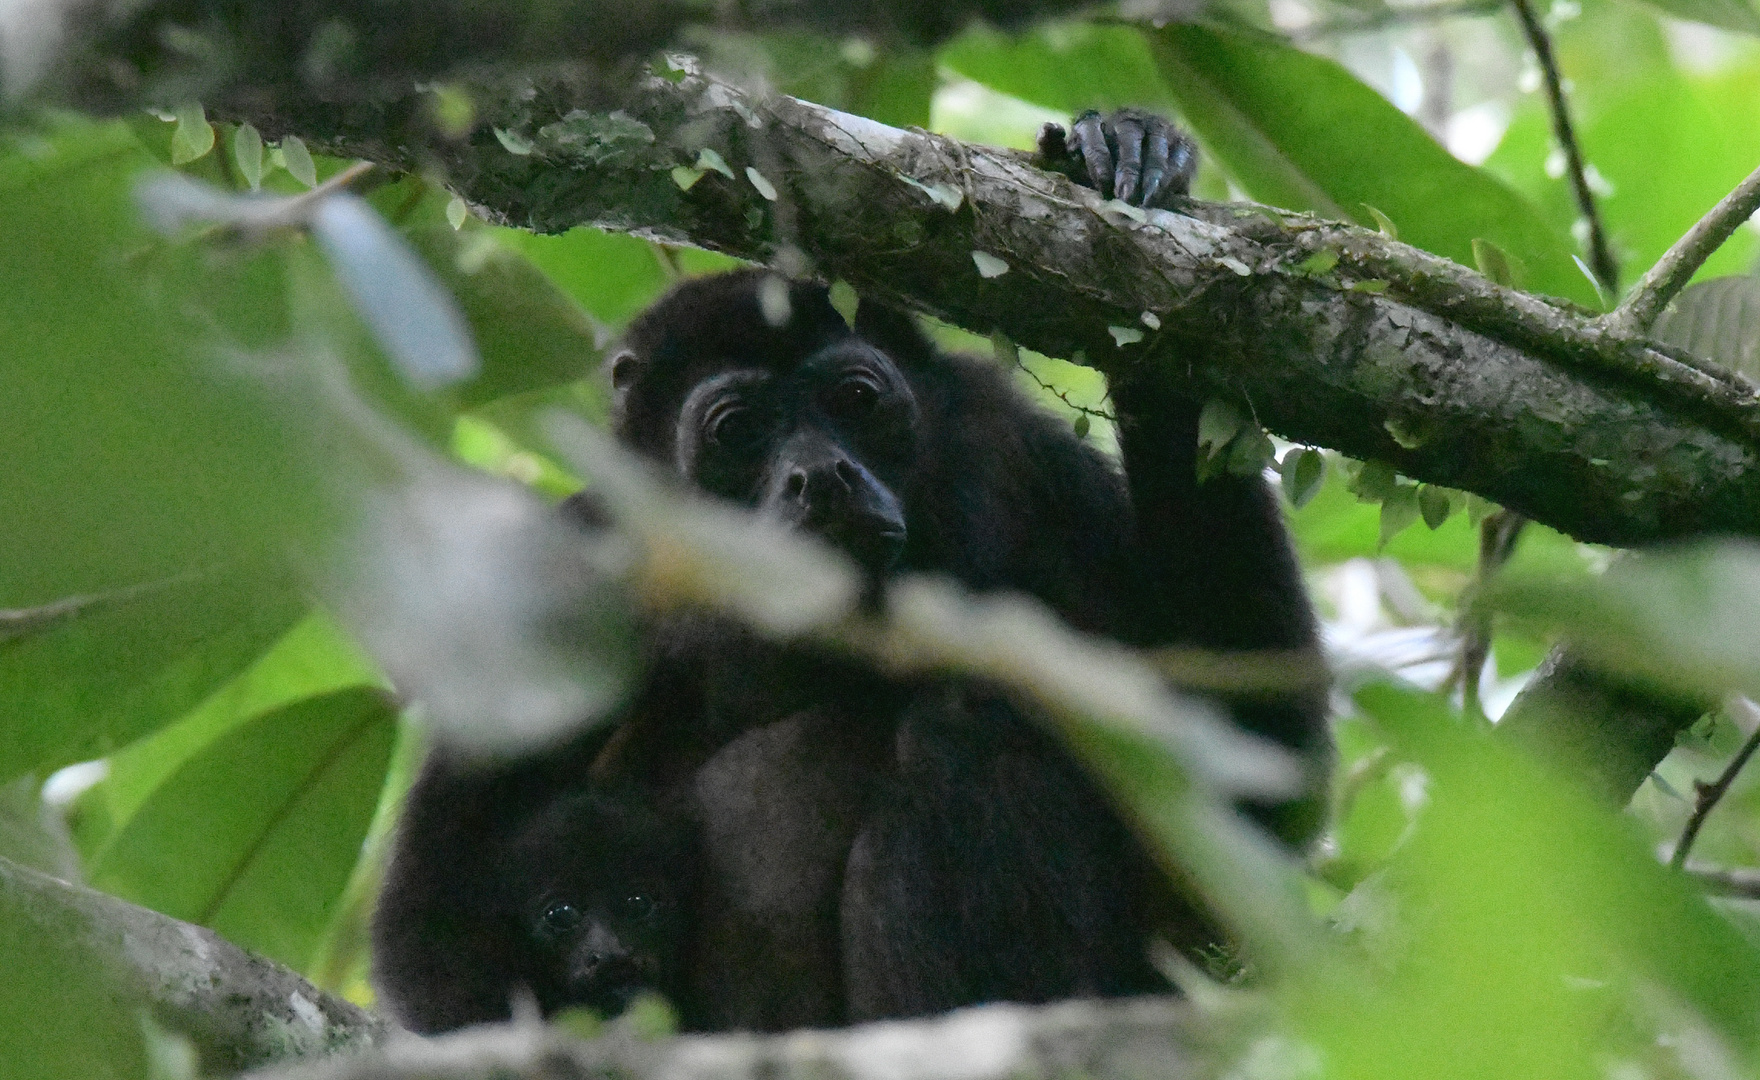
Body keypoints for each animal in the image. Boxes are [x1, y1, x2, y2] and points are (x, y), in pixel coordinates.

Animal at [374, 114, 1330, 1034]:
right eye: (737, 431)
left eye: (856, 401)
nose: (821, 476)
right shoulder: (589, 564)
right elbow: (430, 925)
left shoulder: (1020, 462)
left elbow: (1254, 772)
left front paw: (1131, 164)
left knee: (971, 722)